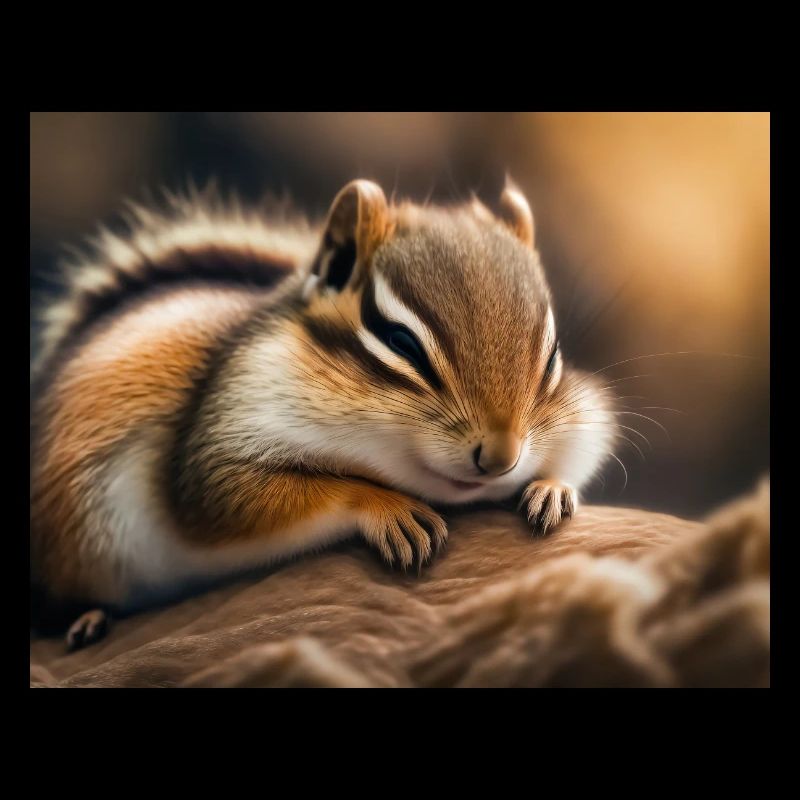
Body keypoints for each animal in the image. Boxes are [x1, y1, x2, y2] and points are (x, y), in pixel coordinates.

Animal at [30, 178, 616, 650]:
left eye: (553, 356)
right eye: (400, 340)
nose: (501, 459)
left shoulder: (582, 420)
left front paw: (552, 489)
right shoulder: (219, 440)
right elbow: (238, 497)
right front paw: (389, 510)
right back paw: (85, 619)